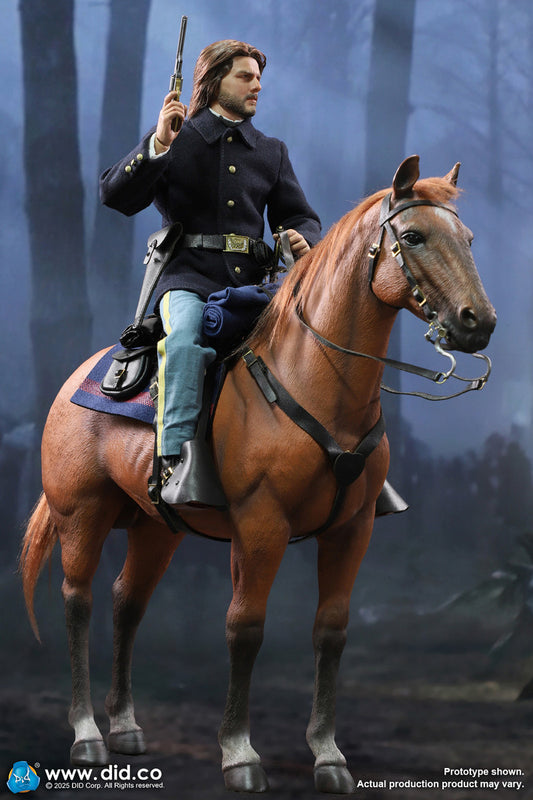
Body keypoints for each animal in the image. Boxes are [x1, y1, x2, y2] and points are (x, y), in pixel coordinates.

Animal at [20, 156, 496, 794]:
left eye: (467, 239)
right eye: (414, 236)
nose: (478, 323)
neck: (316, 380)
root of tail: (79, 378)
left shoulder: (353, 530)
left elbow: (331, 630)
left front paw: (328, 755)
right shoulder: (260, 525)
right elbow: (244, 627)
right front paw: (239, 753)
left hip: (156, 528)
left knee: (128, 601)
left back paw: (125, 726)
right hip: (82, 513)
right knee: (78, 600)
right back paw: (87, 733)